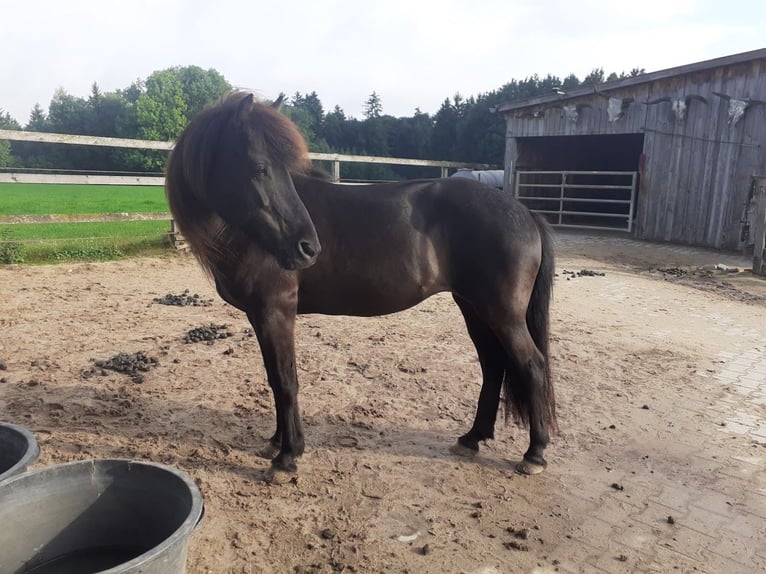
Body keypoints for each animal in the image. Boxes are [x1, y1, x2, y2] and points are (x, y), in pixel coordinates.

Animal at [165, 91, 557, 480]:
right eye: (261, 168)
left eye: (277, 169)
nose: (309, 248)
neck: (248, 237)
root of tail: (524, 212)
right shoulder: (259, 316)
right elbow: (274, 379)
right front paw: (276, 442)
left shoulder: (276, 311)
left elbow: (286, 380)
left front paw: (288, 456)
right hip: (474, 308)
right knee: (493, 366)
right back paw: (472, 438)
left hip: (502, 314)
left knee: (532, 366)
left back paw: (535, 453)